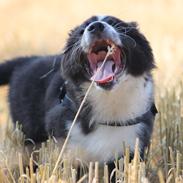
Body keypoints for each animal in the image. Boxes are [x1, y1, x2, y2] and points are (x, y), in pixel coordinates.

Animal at [0, 15, 157, 177]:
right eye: (82, 31)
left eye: (115, 23)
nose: (96, 26)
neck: (109, 100)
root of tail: (24, 61)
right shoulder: (67, 147)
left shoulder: (131, 148)